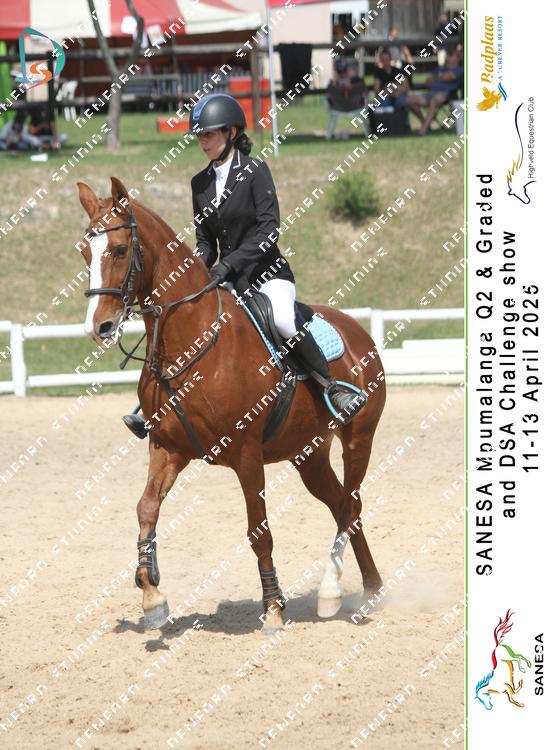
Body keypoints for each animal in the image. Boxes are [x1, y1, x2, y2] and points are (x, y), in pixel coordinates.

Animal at [76, 176, 386, 632]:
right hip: (308, 454)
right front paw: (151, 594)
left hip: (358, 438)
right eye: (85, 252)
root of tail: (356, 330)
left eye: (117, 250)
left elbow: (259, 532)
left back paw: (331, 591)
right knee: (342, 505)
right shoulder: (168, 448)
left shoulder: (246, 453)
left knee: (351, 503)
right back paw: (371, 588)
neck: (191, 343)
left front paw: (272, 607)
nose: (98, 327)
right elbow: (146, 508)